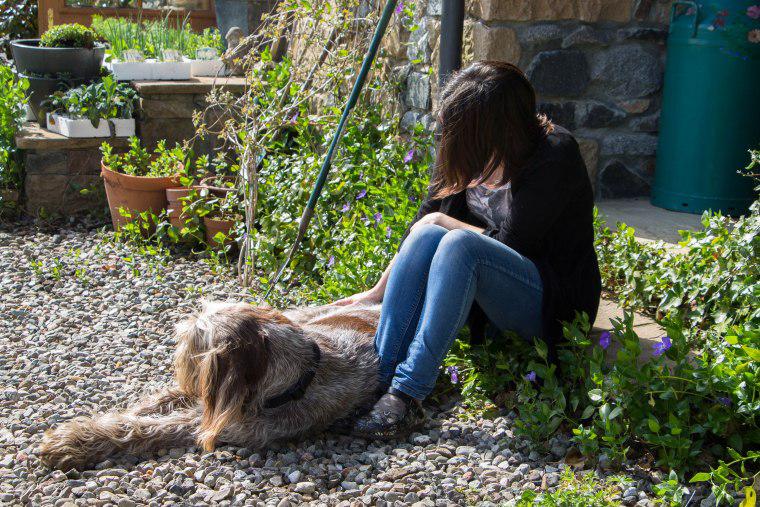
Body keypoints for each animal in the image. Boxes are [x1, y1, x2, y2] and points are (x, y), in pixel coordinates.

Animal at [37, 302, 380, 472]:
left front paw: (74, 441)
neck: (301, 375)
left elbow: (145, 428)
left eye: (192, 339)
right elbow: (151, 405)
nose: (177, 359)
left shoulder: (218, 420)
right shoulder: (208, 393)